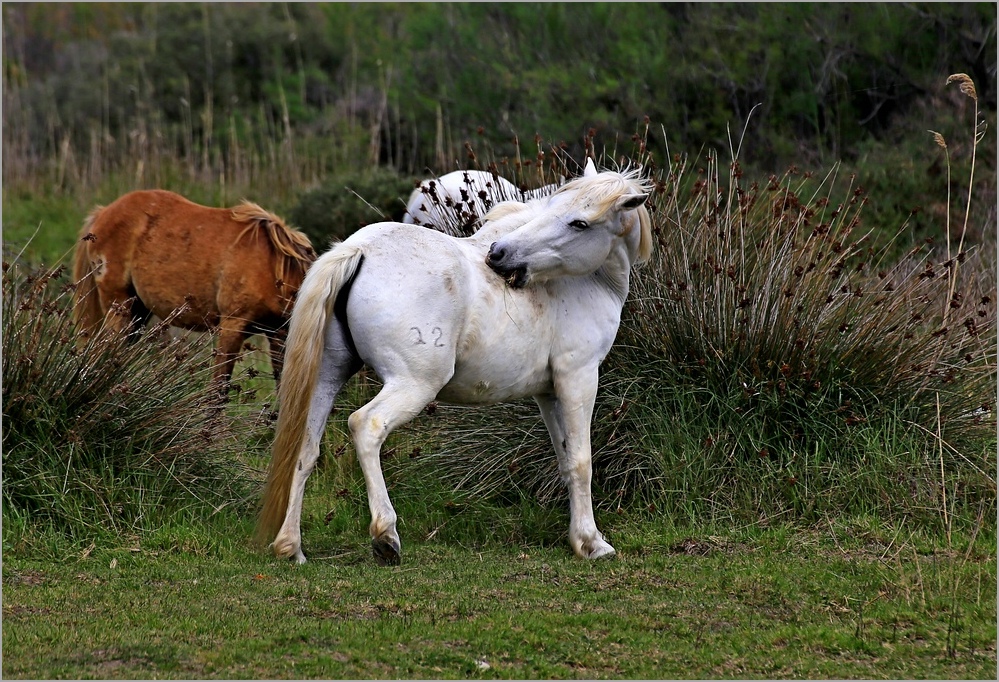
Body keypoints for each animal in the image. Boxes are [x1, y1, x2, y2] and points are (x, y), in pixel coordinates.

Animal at [73, 190, 316, 394]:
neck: (274, 266)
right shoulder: (231, 328)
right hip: (118, 306)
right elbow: (217, 393)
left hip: (137, 312)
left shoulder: (278, 332)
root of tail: (103, 212)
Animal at [258, 161, 652, 564]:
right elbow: (581, 461)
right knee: (366, 425)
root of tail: (360, 248)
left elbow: (564, 457)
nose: (499, 254)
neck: (585, 281)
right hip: (414, 385)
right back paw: (385, 536)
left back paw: (291, 546)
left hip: (326, 378)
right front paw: (590, 542)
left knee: (305, 449)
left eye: (578, 223)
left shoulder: (549, 393)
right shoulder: (579, 379)